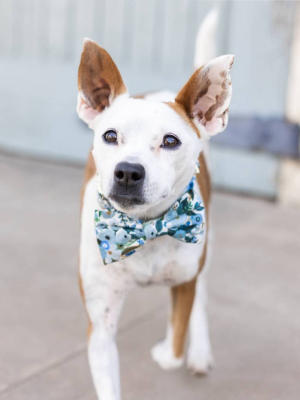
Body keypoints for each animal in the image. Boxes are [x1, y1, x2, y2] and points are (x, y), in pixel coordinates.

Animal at [78, 32, 233, 400]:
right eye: (110, 135)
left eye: (170, 141)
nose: (128, 172)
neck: (142, 228)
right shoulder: (100, 325)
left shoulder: (185, 281)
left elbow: (174, 351)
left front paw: (166, 352)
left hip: (206, 247)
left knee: (202, 297)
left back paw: (200, 353)